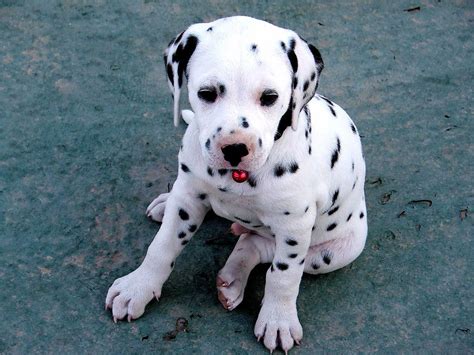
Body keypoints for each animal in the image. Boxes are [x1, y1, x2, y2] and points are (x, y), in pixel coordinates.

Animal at [105, 16, 368, 354]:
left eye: (269, 97)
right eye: (207, 93)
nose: (234, 148)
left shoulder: (295, 226)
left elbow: (283, 276)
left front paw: (278, 320)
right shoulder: (188, 199)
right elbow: (162, 246)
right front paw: (138, 287)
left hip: (335, 253)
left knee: (259, 247)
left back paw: (234, 277)